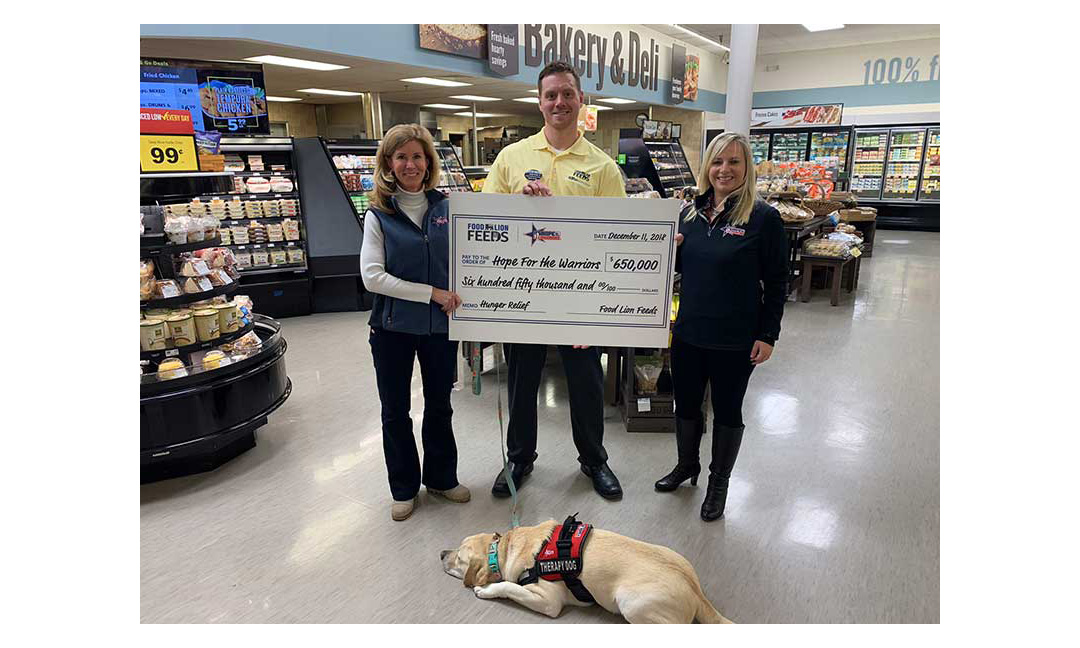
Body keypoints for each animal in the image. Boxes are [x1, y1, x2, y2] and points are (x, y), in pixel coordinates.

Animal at [440, 516, 734, 622]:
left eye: (459, 557)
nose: (442, 553)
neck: (505, 548)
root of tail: (696, 593)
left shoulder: (548, 601)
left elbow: (509, 586)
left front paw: (487, 588)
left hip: (629, 602)